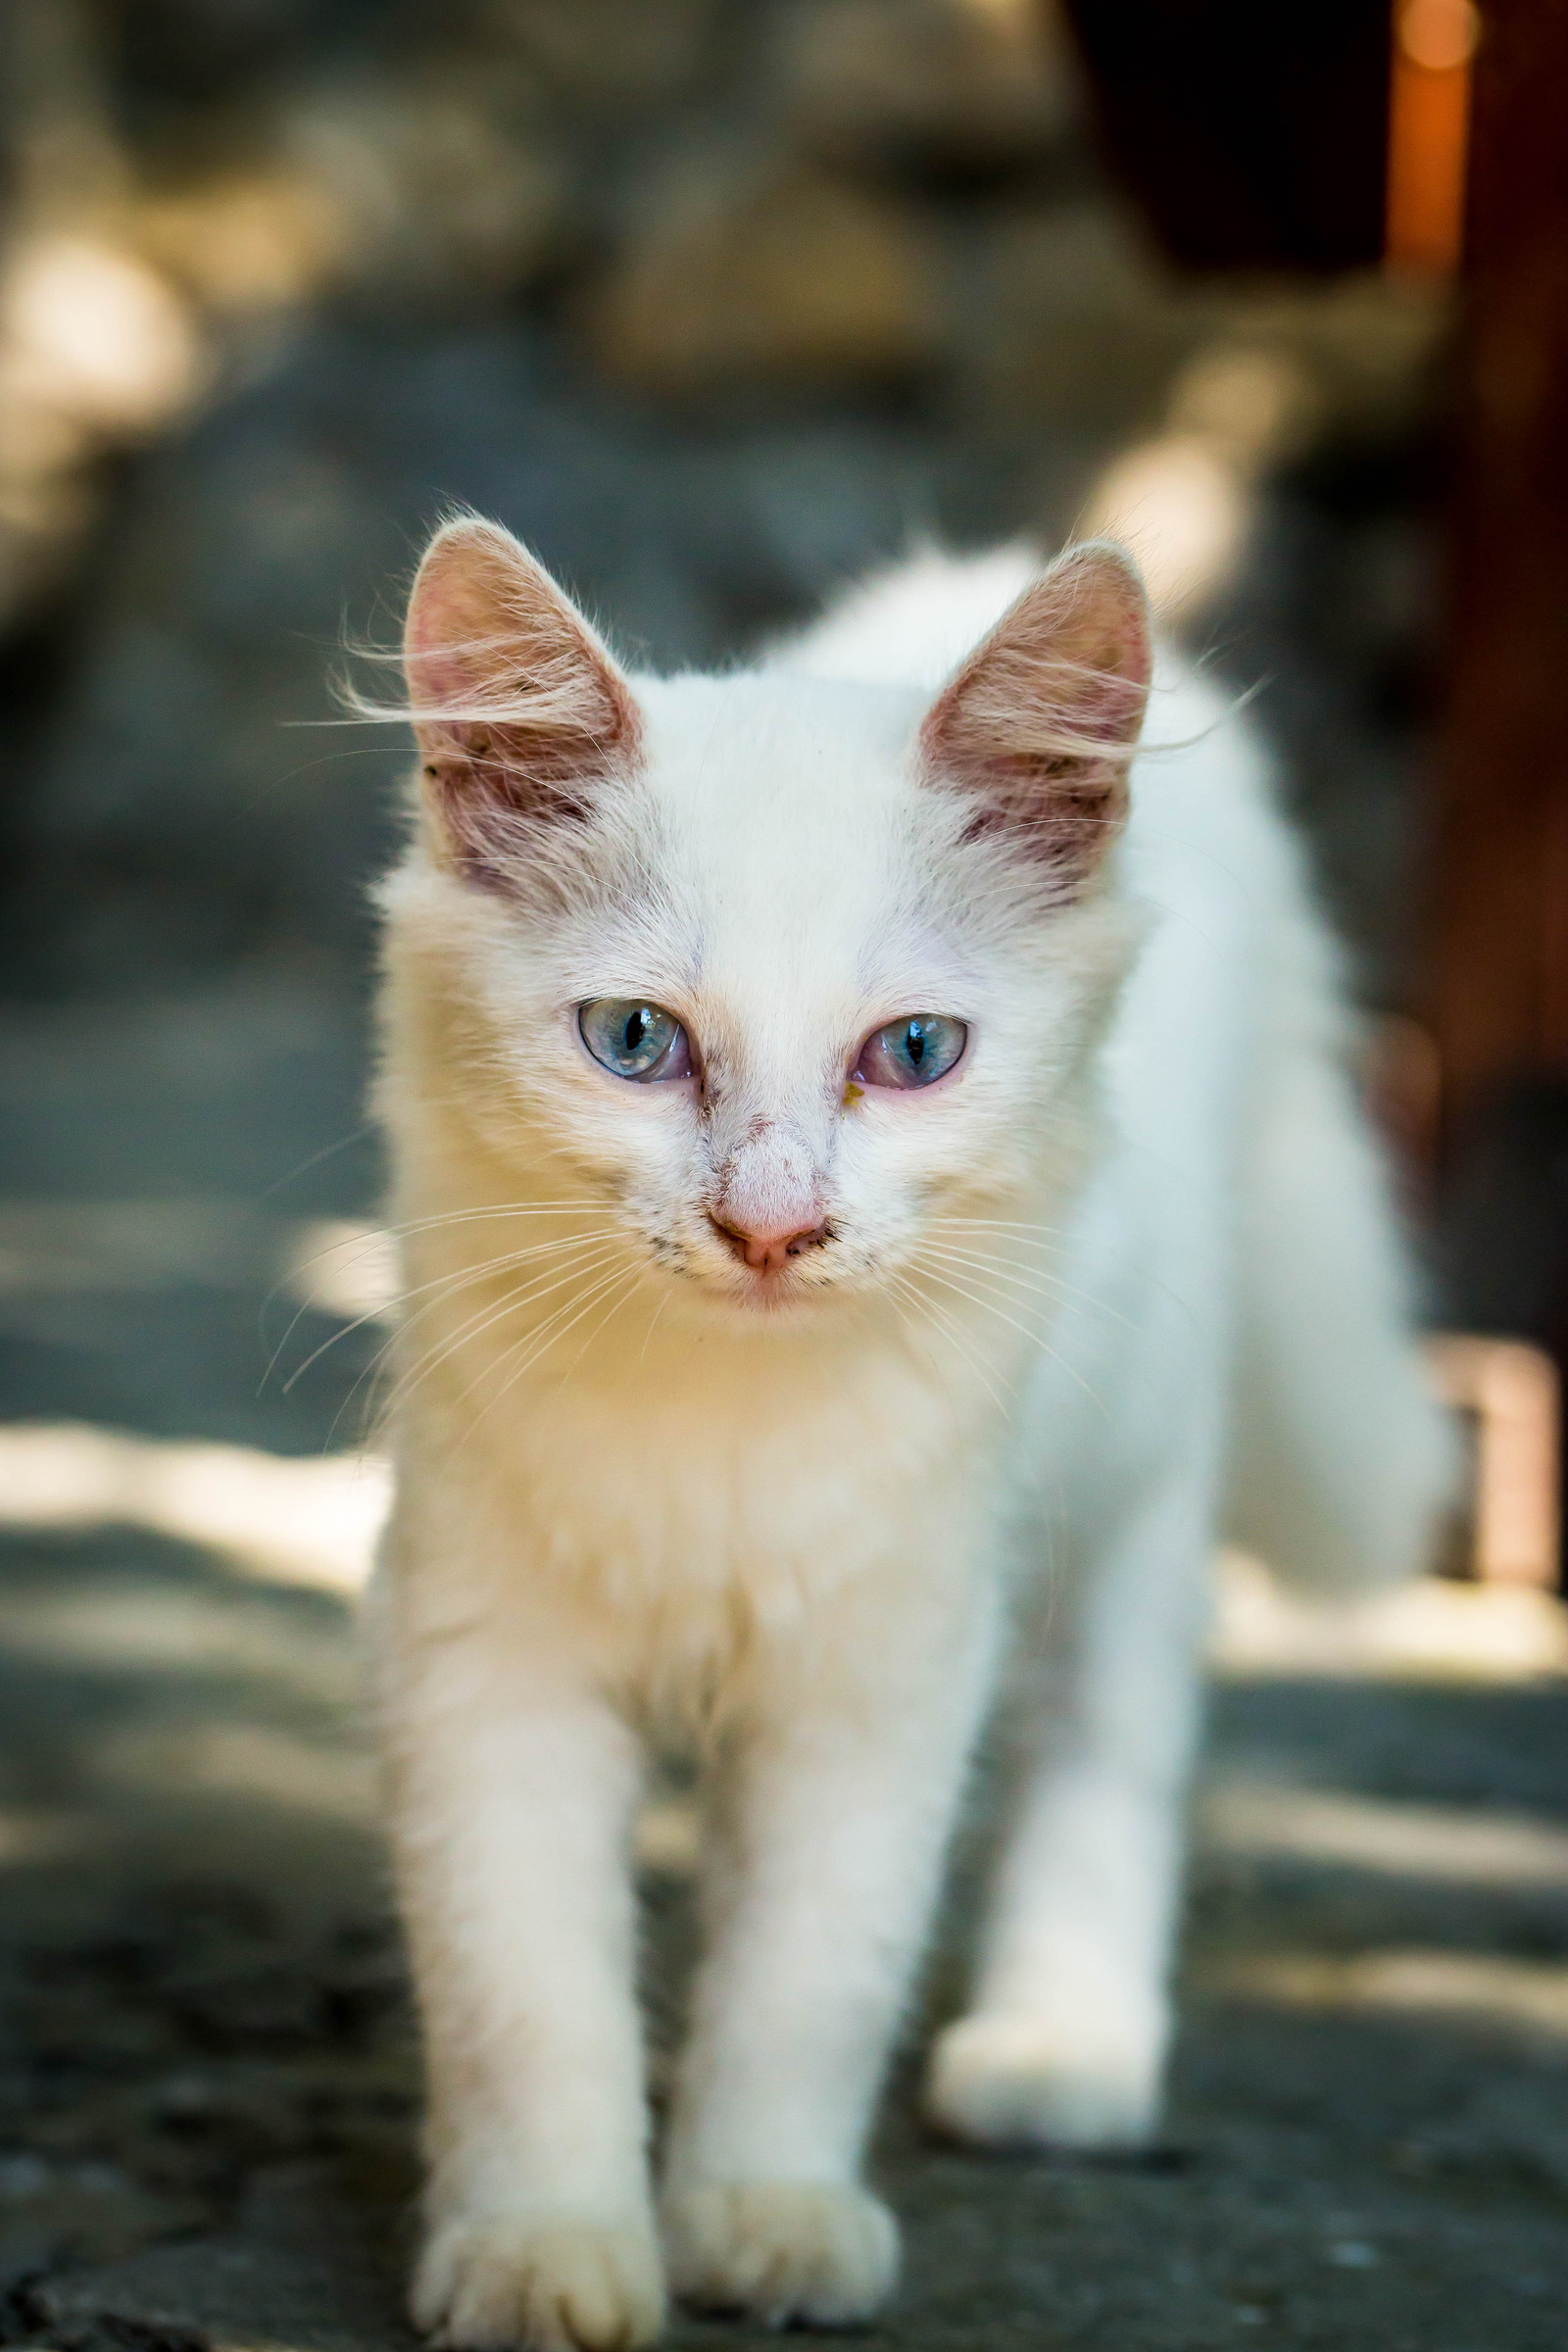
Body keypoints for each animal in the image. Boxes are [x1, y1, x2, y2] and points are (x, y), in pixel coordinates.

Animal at [362, 519, 1457, 2352]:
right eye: (635, 1044)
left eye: (915, 1055)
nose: (771, 1228)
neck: (722, 1431)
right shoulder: (488, 1653)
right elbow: (528, 2001)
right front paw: (546, 2248)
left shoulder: (882, 1663)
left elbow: (813, 1977)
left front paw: (767, 2215)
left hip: (1137, 1489)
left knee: (1110, 1757)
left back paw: (1061, 2049)